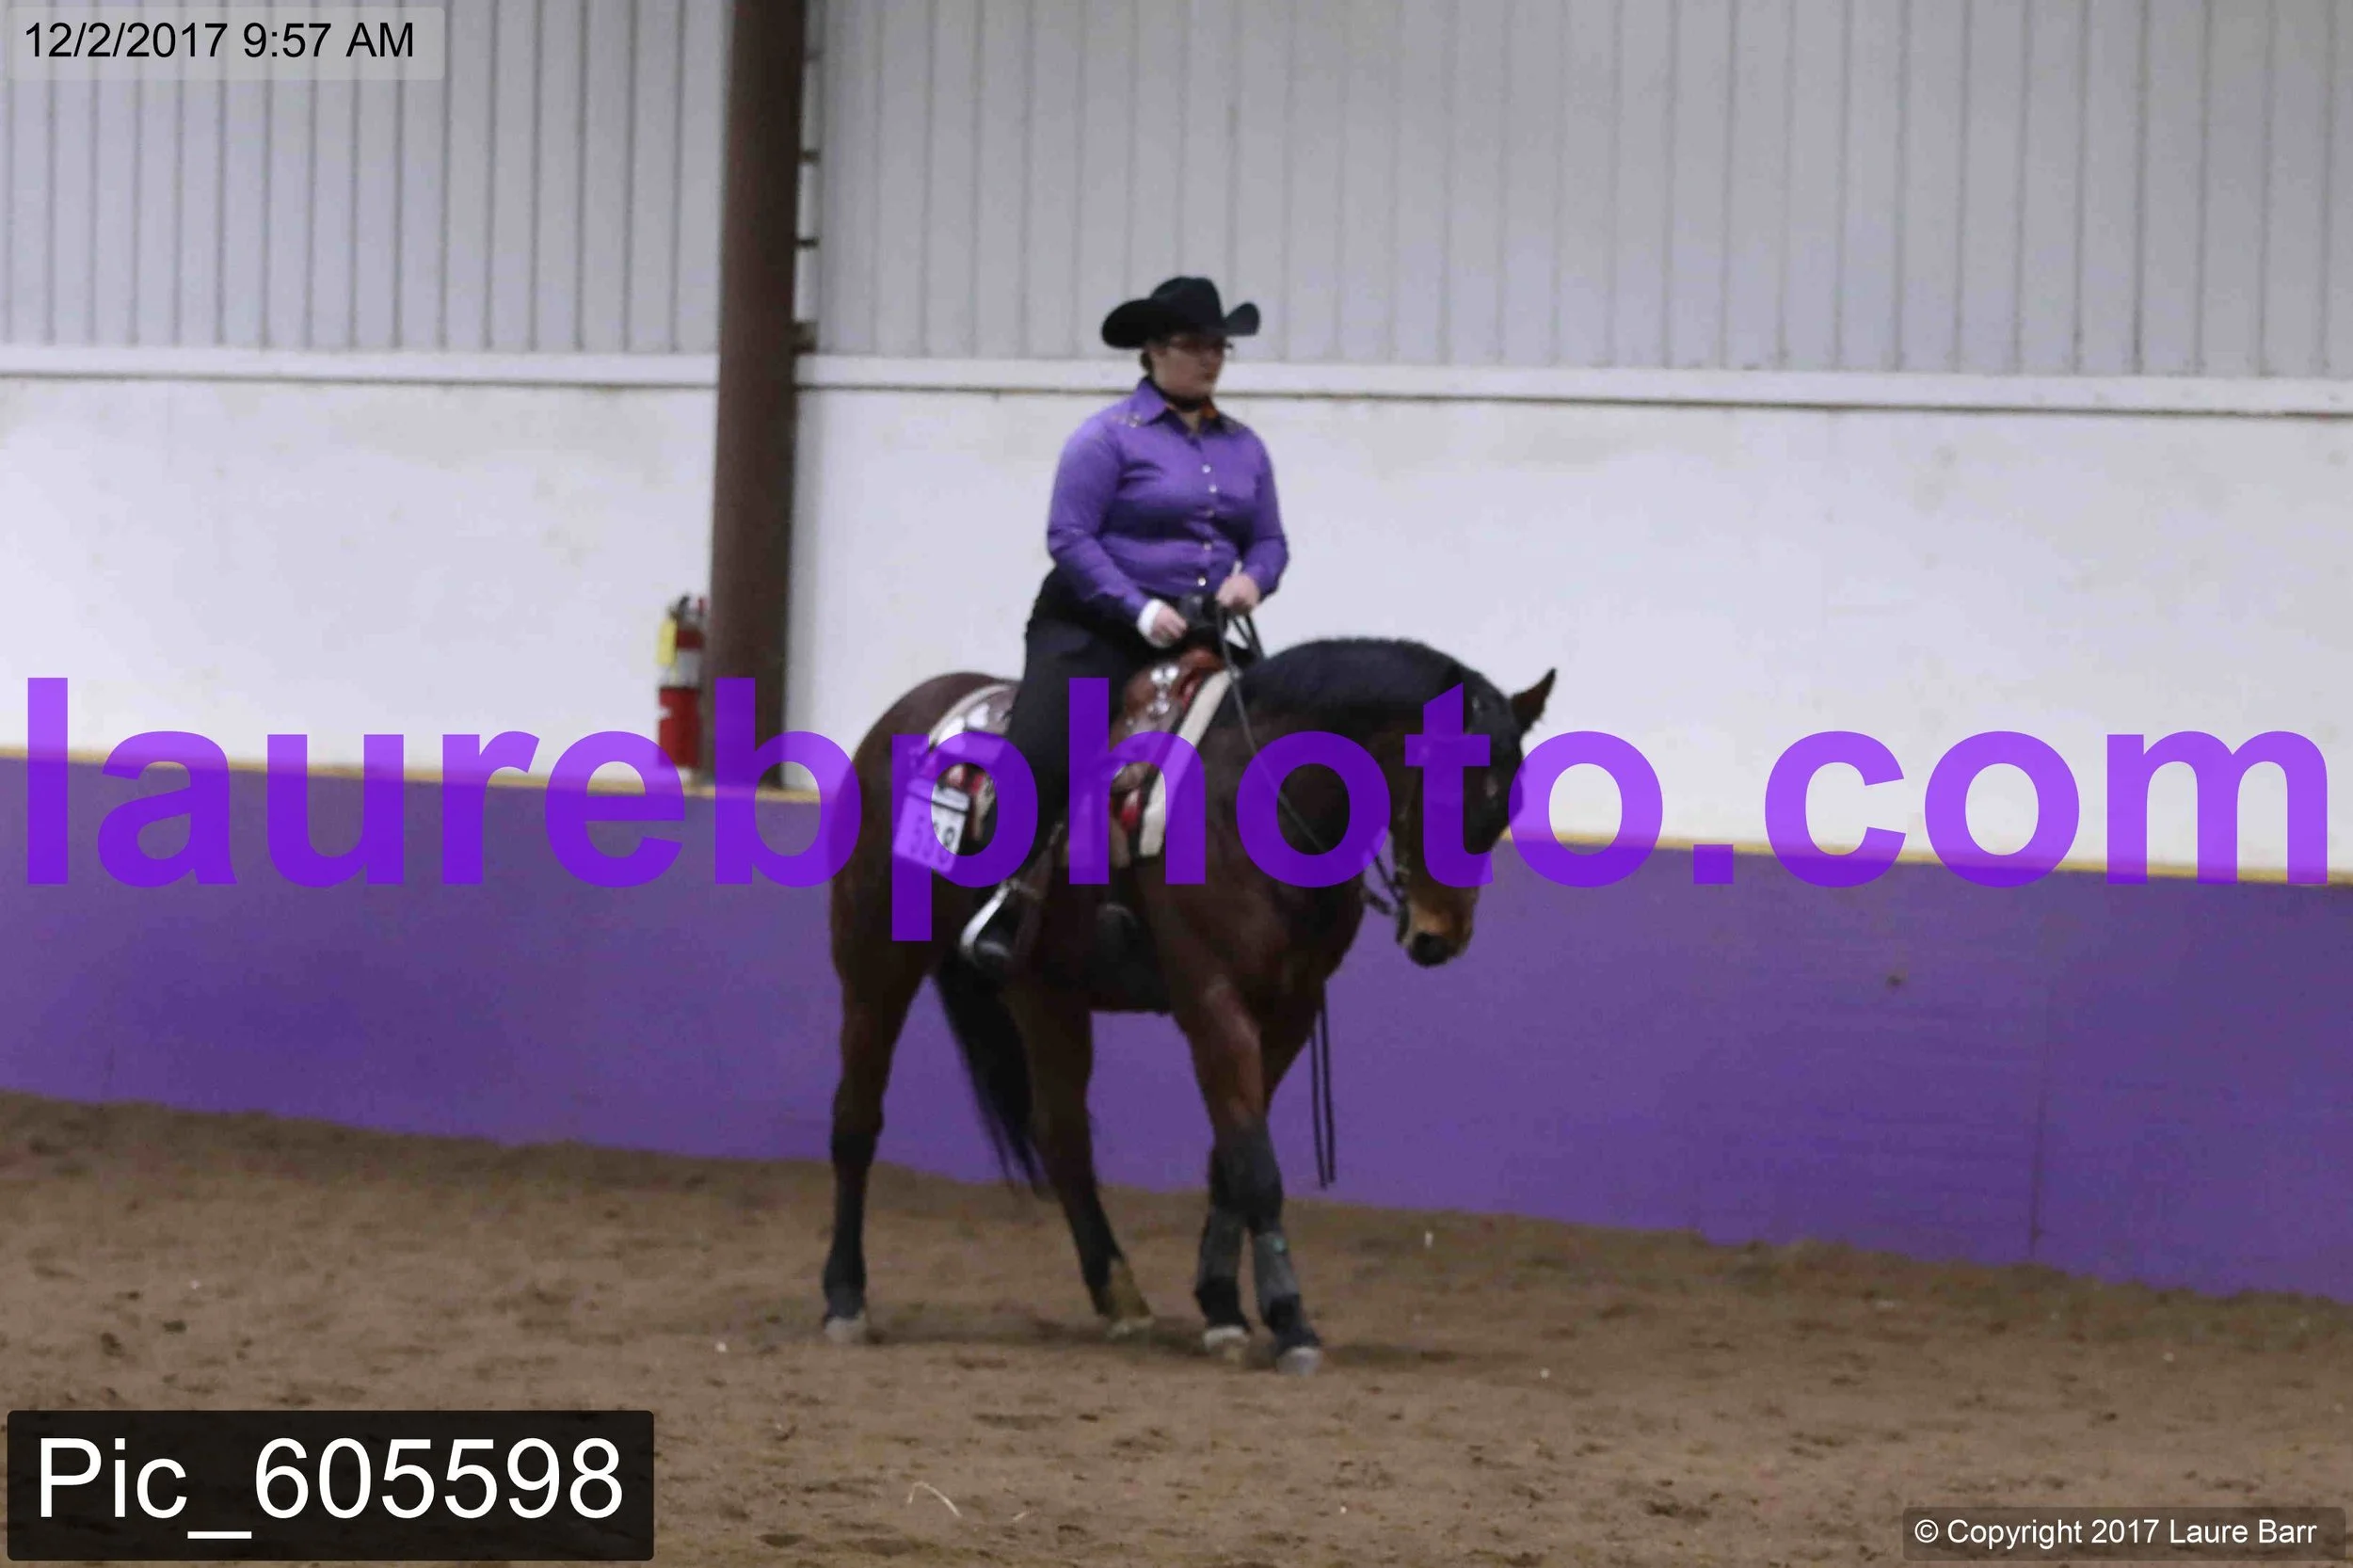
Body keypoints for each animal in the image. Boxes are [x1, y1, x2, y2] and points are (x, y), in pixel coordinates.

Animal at [819, 618, 1554, 1374]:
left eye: (1506, 803)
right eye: (1441, 793)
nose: (1439, 937)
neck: (1254, 804)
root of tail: (906, 714)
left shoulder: (1288, 1011)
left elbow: (1229, 1158)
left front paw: (1223, 1305)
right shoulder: (1213, 1003)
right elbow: (1255, 1166)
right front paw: (1290, 1322)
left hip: (1043, 991)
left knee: (1061, 1135)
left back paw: (1120, 1294)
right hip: (875, 964)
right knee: (856, 1120)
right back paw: (846, 1298)